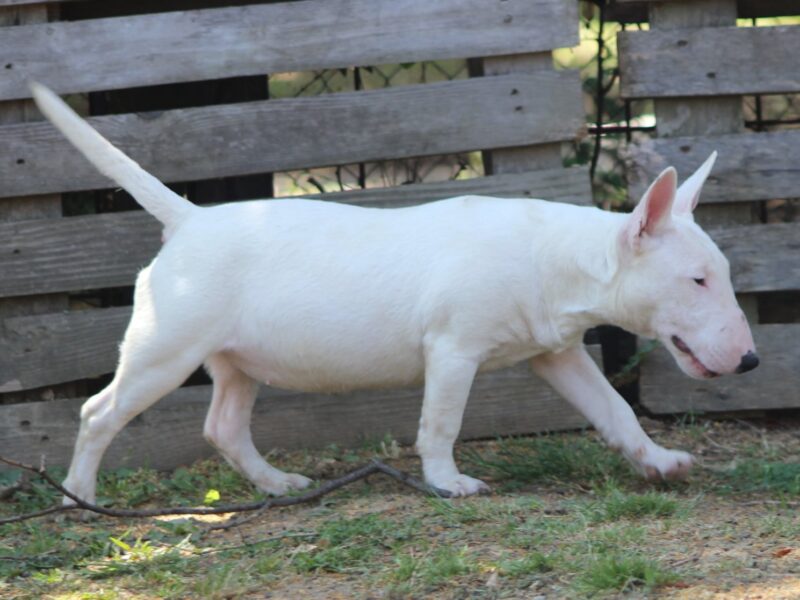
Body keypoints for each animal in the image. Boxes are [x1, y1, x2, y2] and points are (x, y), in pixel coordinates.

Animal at [29, 82, 756, 504]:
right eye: (696, 279)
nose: (750, 361)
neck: (554, 258)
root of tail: (190, 219)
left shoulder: (559, 352)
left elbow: (615, 409)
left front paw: (660, 463)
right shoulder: (453, 350)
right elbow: (441, 422)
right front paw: (449, 483)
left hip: (235, 360)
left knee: (223, 426)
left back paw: (279, 485)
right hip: (166, 346)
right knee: (99, 411)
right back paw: (79, 499)